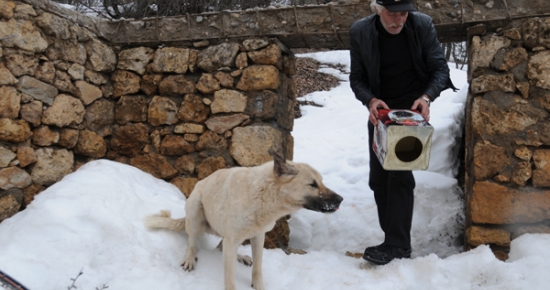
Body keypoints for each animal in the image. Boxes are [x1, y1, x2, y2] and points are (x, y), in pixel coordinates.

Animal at [147, 150, 344, 290]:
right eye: (312, 184)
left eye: (321, 182)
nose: (340, 199)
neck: (263, 195)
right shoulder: (233, 239)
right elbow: (230, 278)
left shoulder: (258, 236)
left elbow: (257, 268)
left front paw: (258, 286)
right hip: (196, 210)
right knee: (193, 243)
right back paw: (190, 258)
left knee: (220, 247)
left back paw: (240, 256)